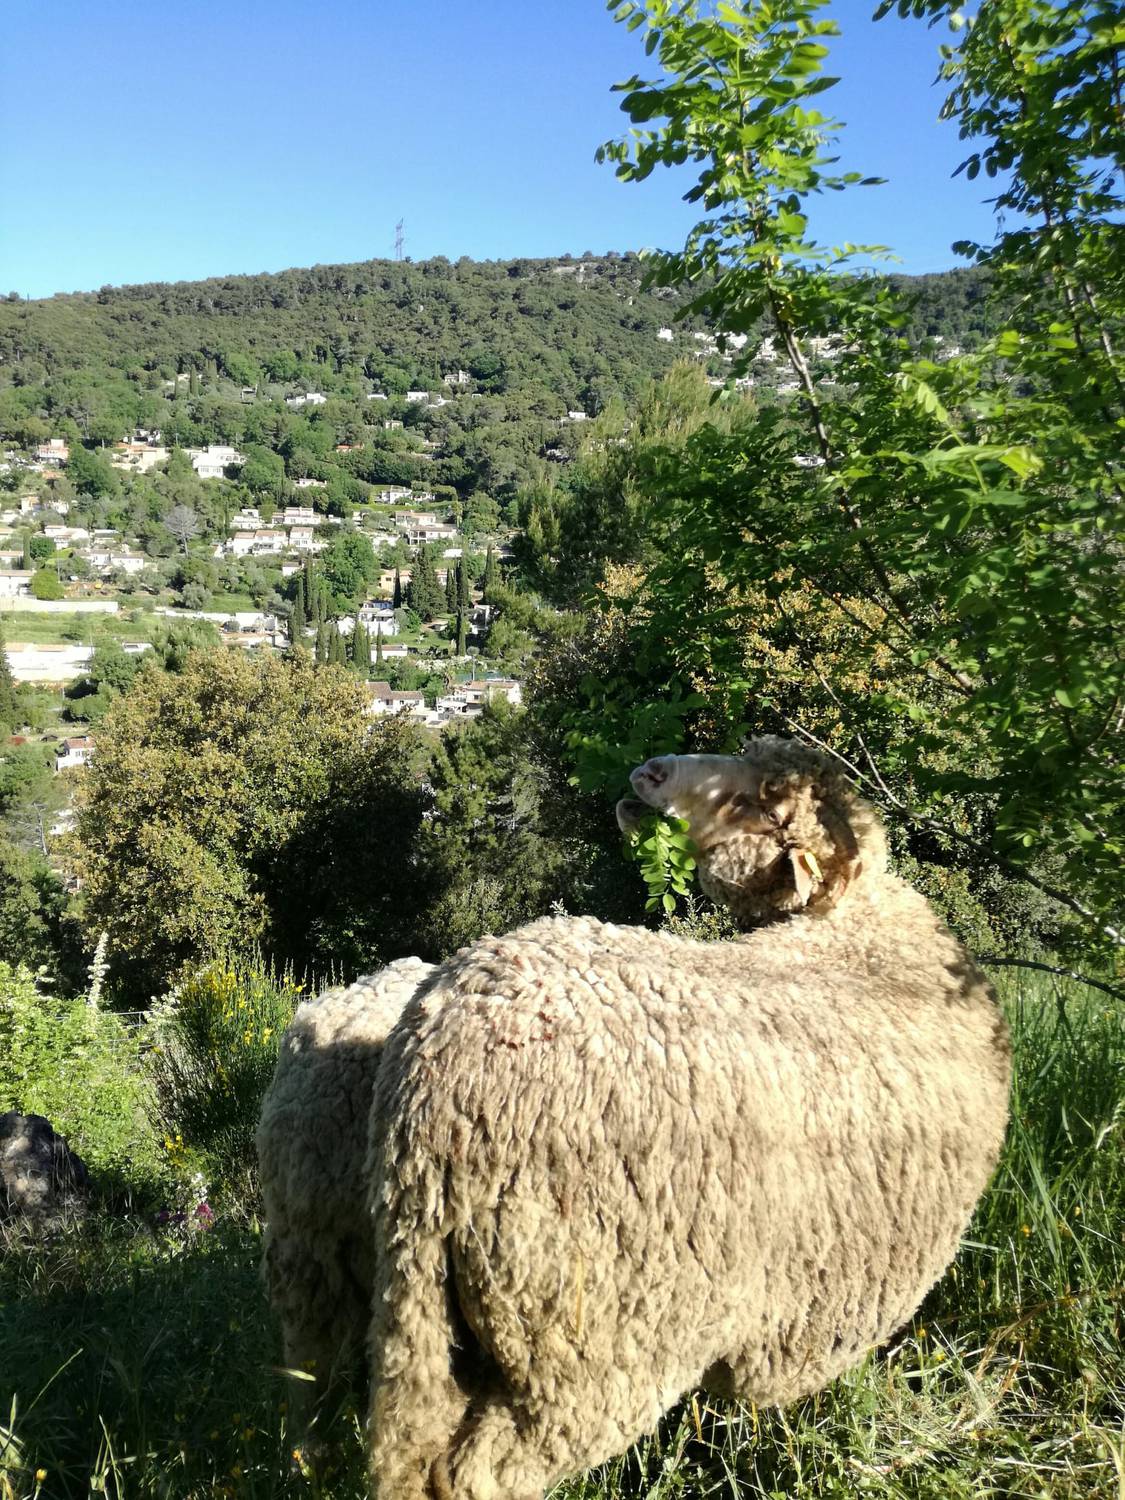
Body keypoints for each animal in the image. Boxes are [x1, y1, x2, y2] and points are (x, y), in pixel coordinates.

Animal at [363, 738, 1014, 1500]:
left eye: (760, 806)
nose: (649, 773)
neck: (852, 931)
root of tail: (435, 1086)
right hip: (589, 1335)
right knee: (484, 1471)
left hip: (427, 1311)